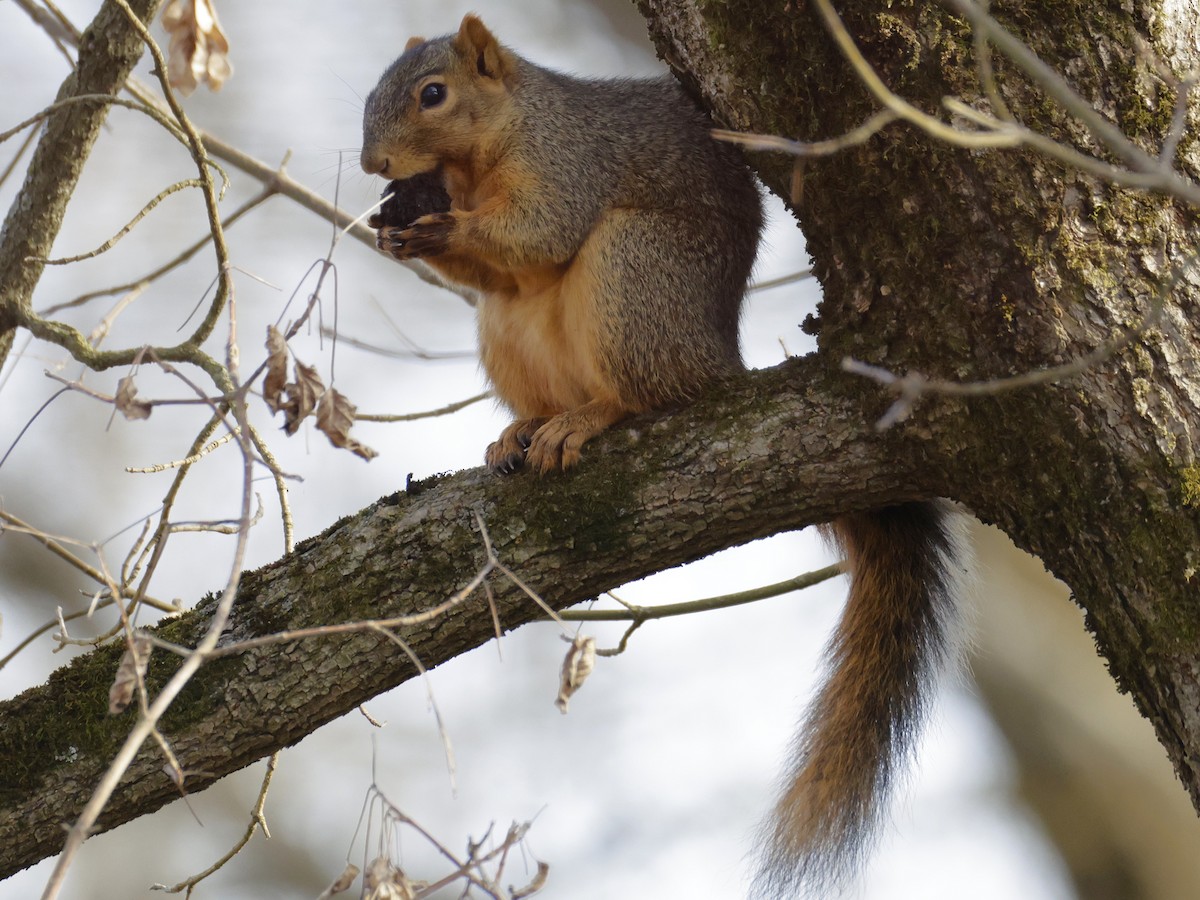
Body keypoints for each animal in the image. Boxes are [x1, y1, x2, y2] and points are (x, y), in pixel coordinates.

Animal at [361, 15, 968, 897]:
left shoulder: (569, 161)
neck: (479, 158)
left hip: (634, 272)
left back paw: (588, 419)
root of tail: (716, 358)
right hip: (508, 333)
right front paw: (396, 233)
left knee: (642, 392)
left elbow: (539, 229)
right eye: (374, 90)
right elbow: (495, 267)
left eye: (432, 94)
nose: (373, 166)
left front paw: (446, 227)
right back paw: (522, 429)